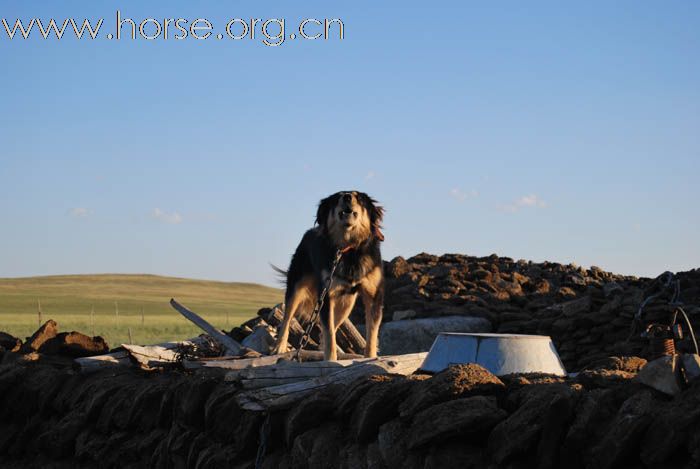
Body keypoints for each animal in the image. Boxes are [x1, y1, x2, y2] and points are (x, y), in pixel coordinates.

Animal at [272, 190, 382, 358]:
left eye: (359, 197)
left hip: (346, 303)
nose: (347, 197)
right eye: (337, 197)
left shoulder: (373, 294)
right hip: (297, 286)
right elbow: (329, 330)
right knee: (287, 317)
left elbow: (372, 332)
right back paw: (279, 347)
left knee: (334, 324)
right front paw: (330, 358)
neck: (349, 250)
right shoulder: (326, 293)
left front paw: (370, 357)